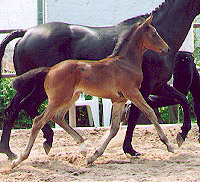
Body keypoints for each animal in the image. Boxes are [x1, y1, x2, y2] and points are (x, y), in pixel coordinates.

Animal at [11, 14, 173, 168]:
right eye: (154, 33)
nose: (167, 49)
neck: (126, 62)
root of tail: (50, 69)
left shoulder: (119, 100)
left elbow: (114, 128)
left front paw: (93, 156)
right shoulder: (132, 92)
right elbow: (150, 113)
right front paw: (169, 144)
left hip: (72, 97)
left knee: (58, 117)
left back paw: (83, 147)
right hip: (58, 99)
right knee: (38, 121)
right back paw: (18, 159)